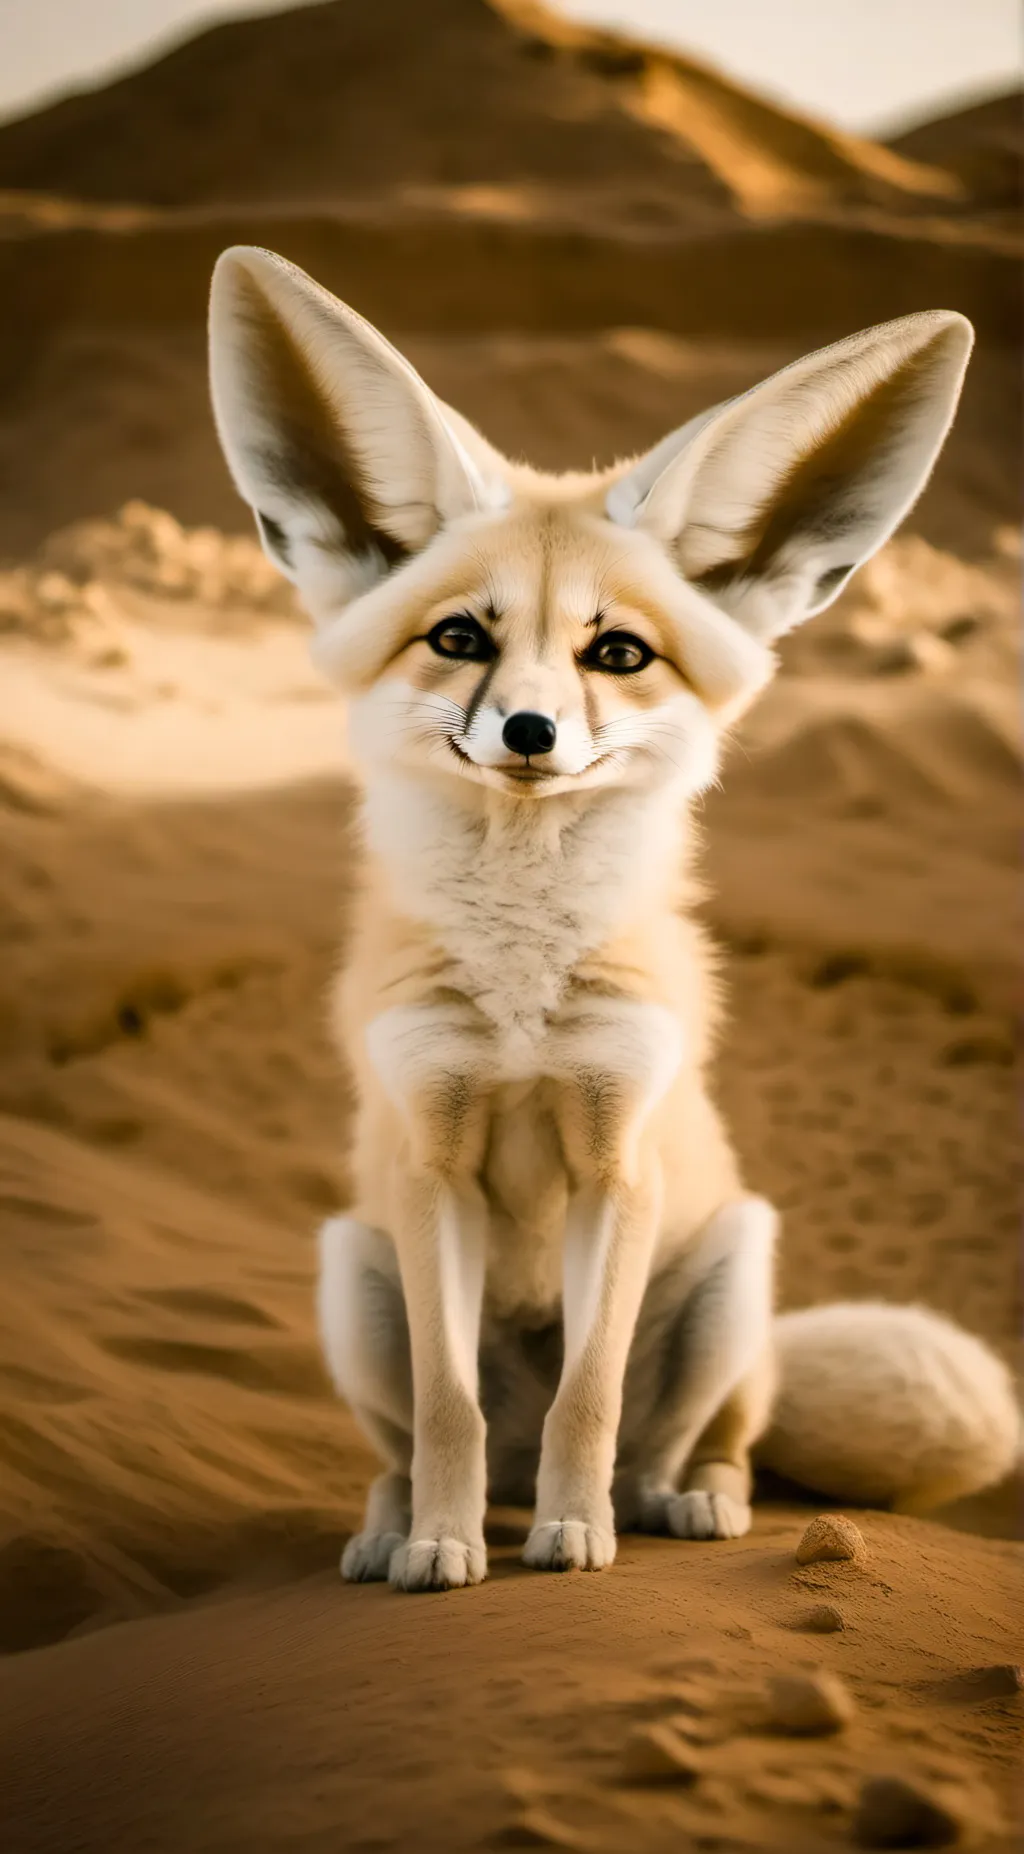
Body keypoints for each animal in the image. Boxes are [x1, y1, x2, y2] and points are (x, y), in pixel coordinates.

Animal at [208, 247, 1020, 1591]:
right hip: (351, 1274)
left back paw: (670, 1505)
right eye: (459, 638)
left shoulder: (616, 1159)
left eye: (620, 654)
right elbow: (448, 1410)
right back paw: (402, 1528)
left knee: (691, 1445)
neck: (523, 997)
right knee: (422, 1444)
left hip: (734, 1272)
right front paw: (441, 1550)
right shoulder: (430, 1166)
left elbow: (584, 1397)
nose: (530, 730)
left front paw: (575, 1544)